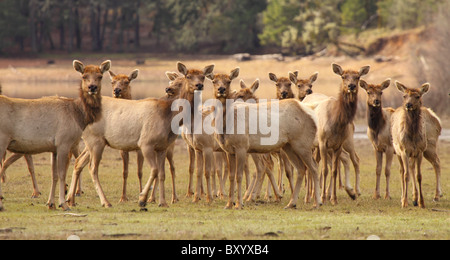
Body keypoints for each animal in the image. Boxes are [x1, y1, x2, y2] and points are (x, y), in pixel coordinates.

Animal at [0, 59, 109, 211]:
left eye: (100, 76)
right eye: (84, 76)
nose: (92, 87)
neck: (78, 115)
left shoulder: (54, 148)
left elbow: (54, 175)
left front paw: (50, 203)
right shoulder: (64, 142)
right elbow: (62, 174)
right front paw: (64, 203)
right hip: (2, 140)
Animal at [67, 62, 214, 208]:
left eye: (202, 77)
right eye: (188, 76)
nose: (199, 85)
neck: (169, 117)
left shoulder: (162, 147)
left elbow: (162, 174)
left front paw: (162, 202)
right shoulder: (145, 143)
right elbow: (154, 170)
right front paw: (143, 197)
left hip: (93, 142)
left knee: (79, 162)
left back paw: (70, 199)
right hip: (95, 140)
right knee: (92, 168)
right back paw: (105, 202)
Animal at [214, 78, 320, 209]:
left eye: (240, 95)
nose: (221, 91)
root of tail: (313, 114)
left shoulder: (243, 147)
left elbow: (245, 173)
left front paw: (240, 203)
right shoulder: (230, 150)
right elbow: (233, 175)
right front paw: (230, 203)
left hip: (303, 144)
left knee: (313, 167)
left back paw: (317, 202)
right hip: (288, 146)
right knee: (301, 168)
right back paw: (291, 203)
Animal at [302, 63, 370, 205]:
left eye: (357, 76)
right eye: (343, 76)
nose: (351, 86)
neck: (337, 123)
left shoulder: (337, 145)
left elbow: (333, 170)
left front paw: (333, 198)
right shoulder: (323, 142)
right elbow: (325, 170)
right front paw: (322, 197)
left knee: (350, 159)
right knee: (310, 165)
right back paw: (308, 197)